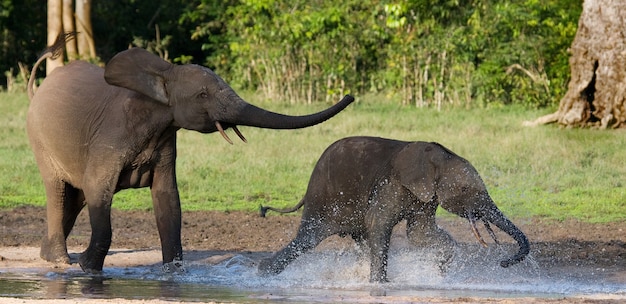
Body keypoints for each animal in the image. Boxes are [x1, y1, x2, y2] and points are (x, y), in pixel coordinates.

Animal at [25, 35, 352, 274]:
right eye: (203, 95)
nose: (349, 96)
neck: (162, 74)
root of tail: (37, 91)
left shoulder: (166, 138)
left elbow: (168, 198)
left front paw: (174, 273)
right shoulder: (110, 138)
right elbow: (99, 190)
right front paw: (88, 269)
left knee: (75, 195)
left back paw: (48, 255)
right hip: (39, 138)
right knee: (58, 189)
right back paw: (60, 260)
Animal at [258, 135, 528, 282]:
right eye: (464, 190)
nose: (504, 262)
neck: (437, 157)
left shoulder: (425, 196)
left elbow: (419, 233)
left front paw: (439, 272)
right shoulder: (391, 184)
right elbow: (379, 223)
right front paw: (380, 285)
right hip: (323, 197)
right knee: (308, 238)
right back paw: (264, 272)